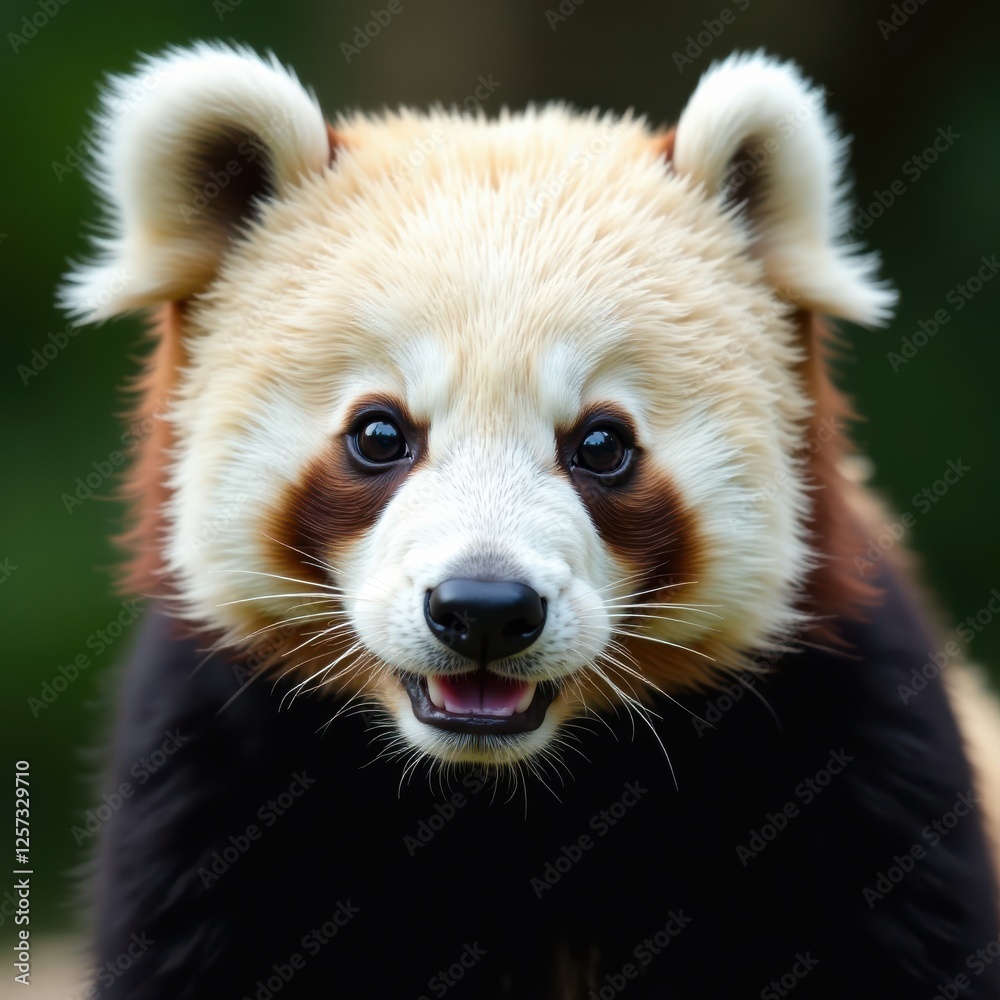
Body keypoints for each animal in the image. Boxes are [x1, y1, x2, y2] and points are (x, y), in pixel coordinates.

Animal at [62, 43, 1000, 999]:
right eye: (380, 434)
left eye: (601, 444)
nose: (484, 609)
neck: (502, 798)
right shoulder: (209, 777)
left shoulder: (856, 755)